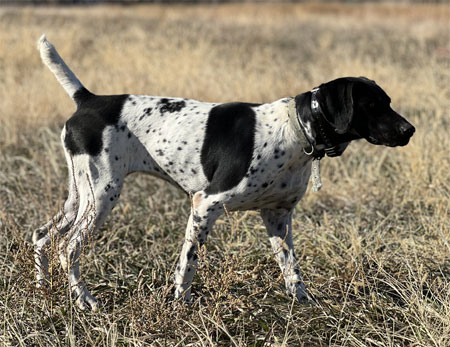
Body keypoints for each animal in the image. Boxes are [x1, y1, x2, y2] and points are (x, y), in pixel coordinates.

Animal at [34, 36, 414, 312]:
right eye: (373, 105)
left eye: (388, 101)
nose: (409, 130)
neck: (295, 129)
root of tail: (88, 99)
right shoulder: (206, 204)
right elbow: (188, 262)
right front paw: (181, 304)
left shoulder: (277, 217)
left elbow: (291, 269)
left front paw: (304, 304)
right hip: (102, 195)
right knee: (68, 247)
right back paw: (84, 300)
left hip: (80, 195)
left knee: (42, 236)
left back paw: (42, 288)